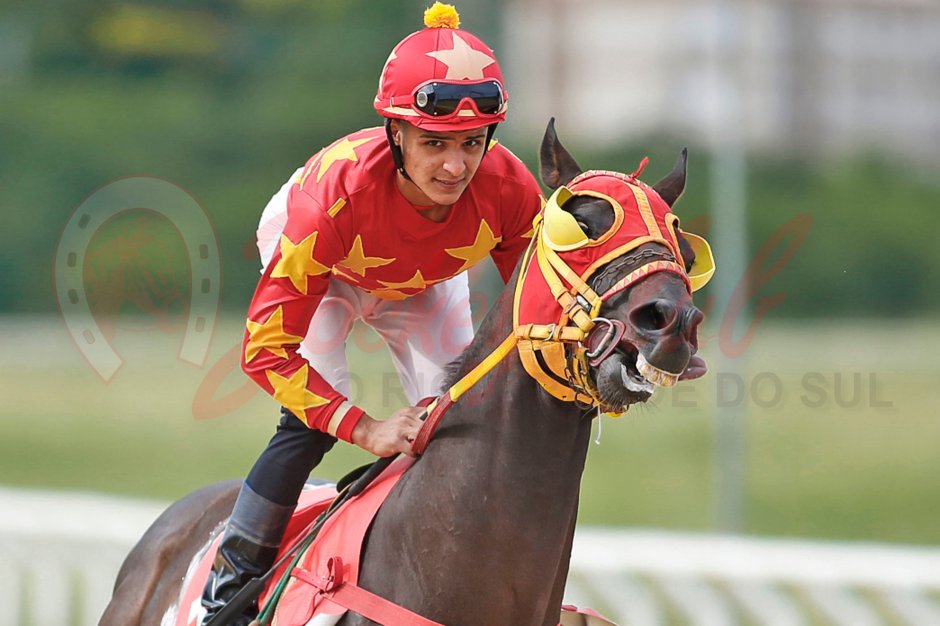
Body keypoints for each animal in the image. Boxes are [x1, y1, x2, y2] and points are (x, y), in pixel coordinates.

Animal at [100, 120, 711, 626]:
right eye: (579, 224)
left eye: (686, 251)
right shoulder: (315, 225)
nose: (671, 322)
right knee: (299, 424)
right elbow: (268, 348)